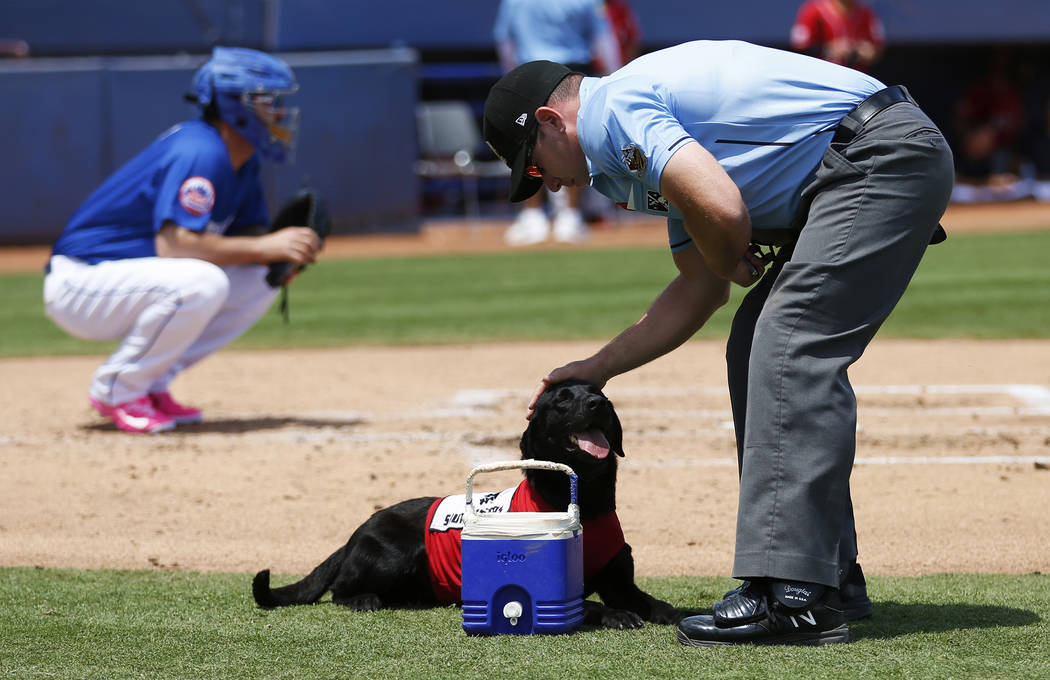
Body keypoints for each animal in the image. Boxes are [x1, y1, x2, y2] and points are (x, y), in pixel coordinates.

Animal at [254, 379, 688, 629]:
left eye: (601, 395)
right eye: (563, 400)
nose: (598, 403)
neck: (587, 504)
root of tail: (355, 533)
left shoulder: (621, 583)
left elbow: (653, 602)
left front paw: (677, 614)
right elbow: (590, 606)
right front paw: (616, 616)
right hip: (393, 555)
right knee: (340, 591)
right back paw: (363, 599)